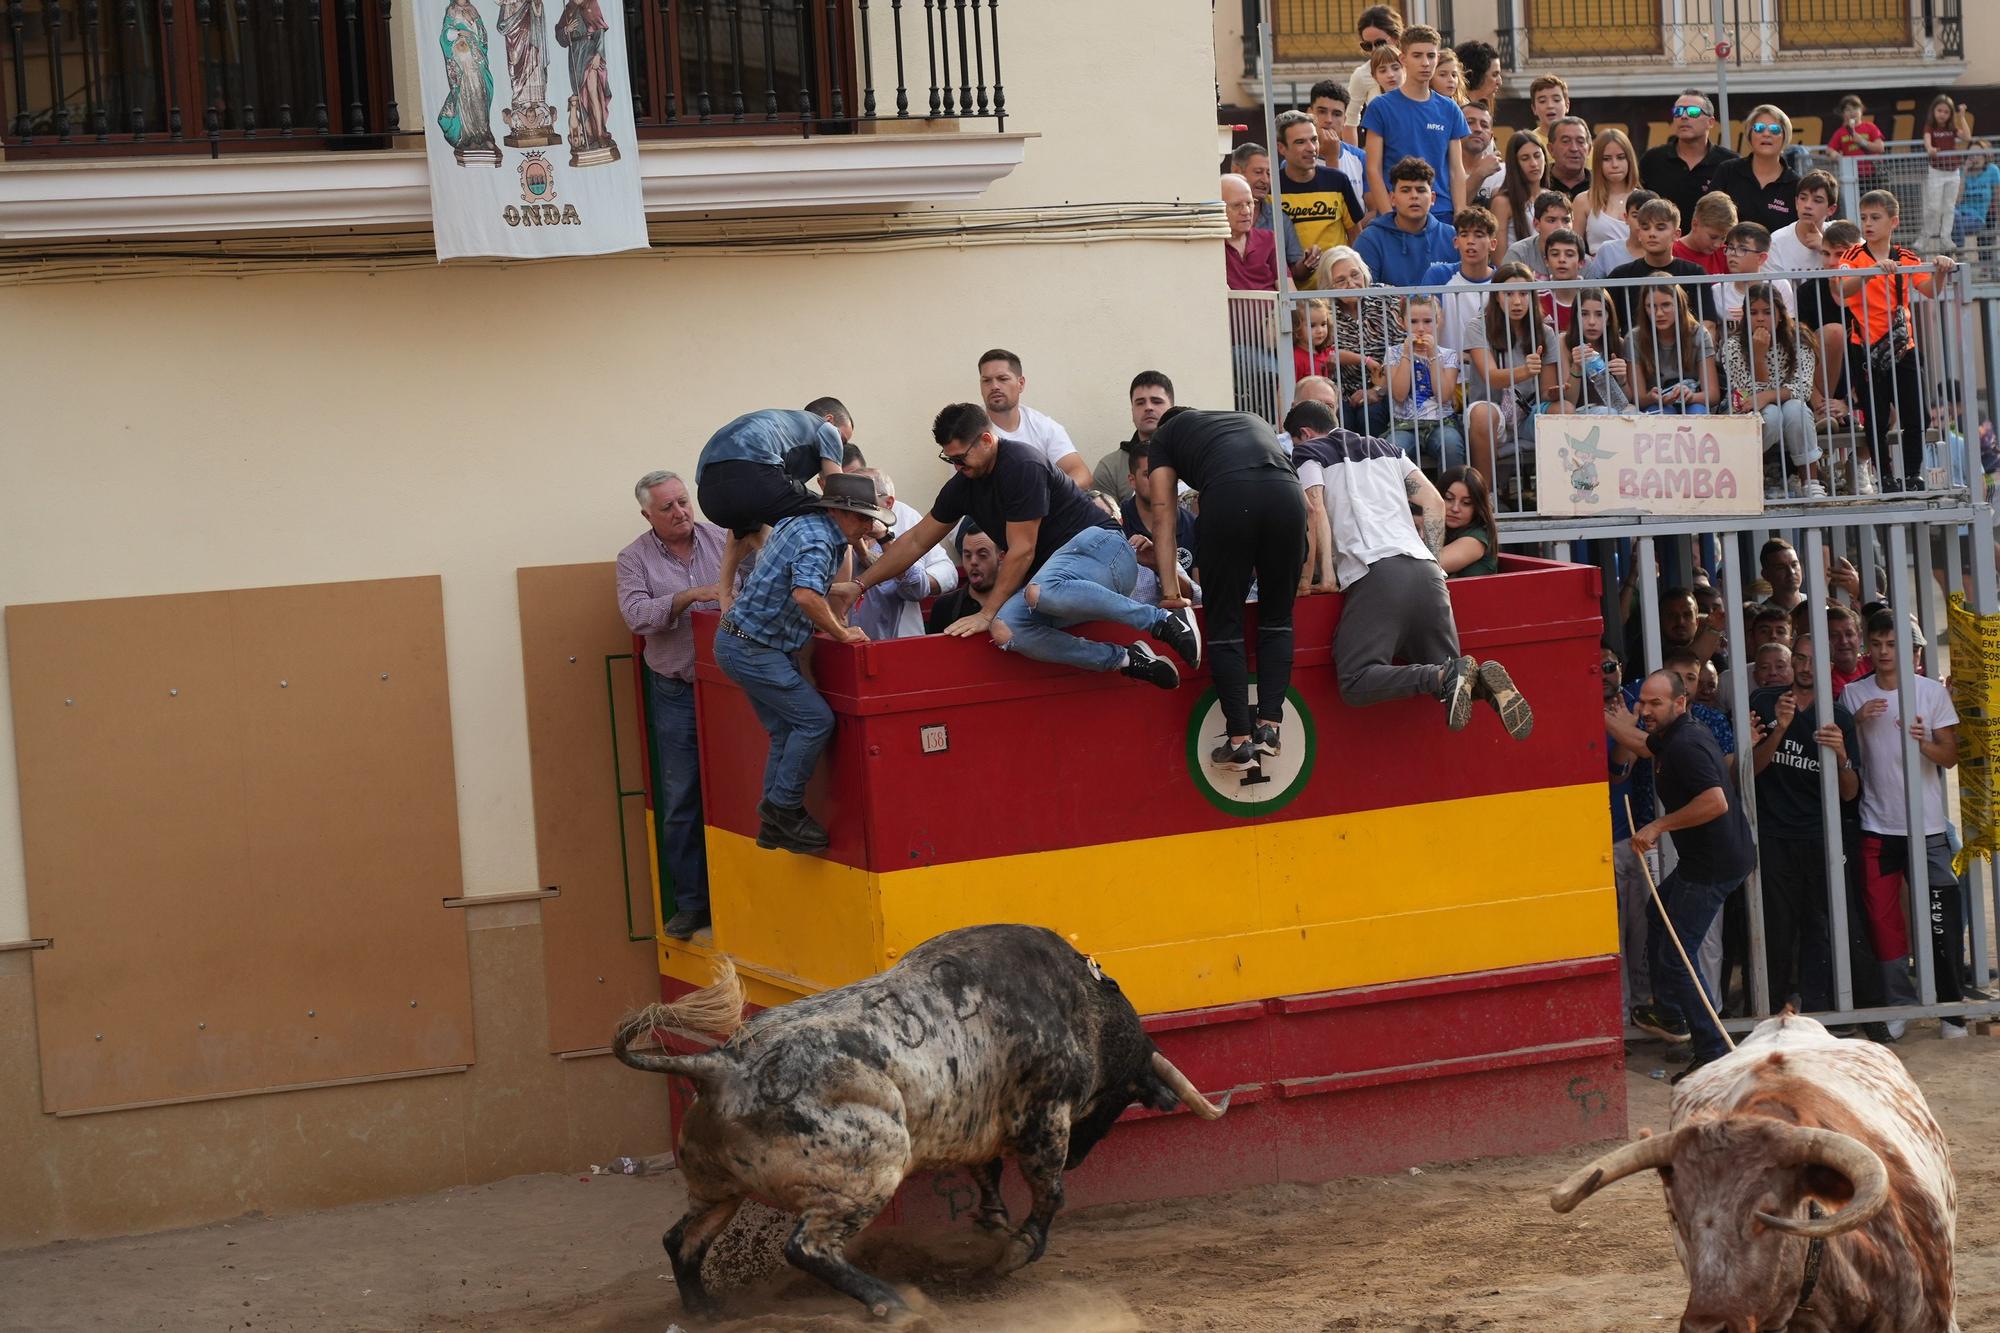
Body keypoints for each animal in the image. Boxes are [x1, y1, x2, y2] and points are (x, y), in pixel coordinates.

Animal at [612, 920, 1232, 1312]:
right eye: (1124, 1095)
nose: (1082, 1155)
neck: (1083, 1006)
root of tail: (721, 1062)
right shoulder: (1045, 1118)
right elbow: (1049, 1193)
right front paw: (1017, 1248)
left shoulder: (983, 1127)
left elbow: (988, 1175)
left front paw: (994, 1223)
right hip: (874, 1166)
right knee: (805, 1246)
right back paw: (891, 1303)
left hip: (718, 1189)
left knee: (682, 1241)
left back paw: (706, 1312)